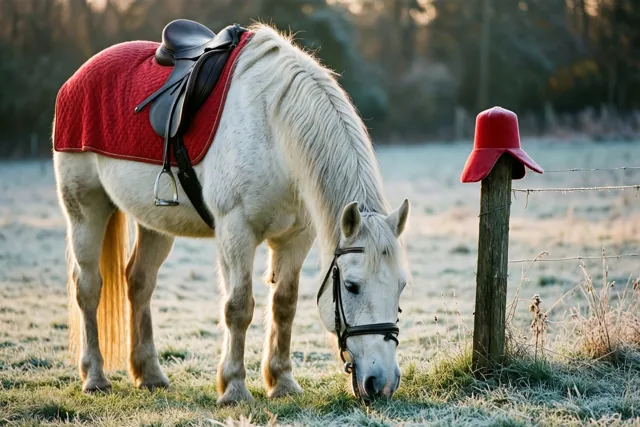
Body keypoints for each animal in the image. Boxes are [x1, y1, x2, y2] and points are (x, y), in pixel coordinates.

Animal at [53, 23, 411, 404]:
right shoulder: (236, 230)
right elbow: (238, 307)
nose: (382, 383)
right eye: (351, 286)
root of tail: (78, 78)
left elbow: (284, 305)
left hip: (154, 223)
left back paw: (149, 374)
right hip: (84, 208)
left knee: (139, 283)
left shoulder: (296, 238)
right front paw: (234, 387)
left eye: (401, 285)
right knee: (88, 287)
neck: (273, 129)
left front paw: (282, 382)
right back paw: (94, 377)